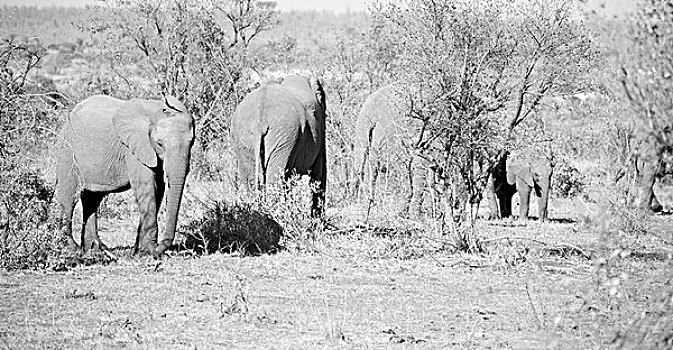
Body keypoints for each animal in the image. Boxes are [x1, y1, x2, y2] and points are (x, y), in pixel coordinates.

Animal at [55, 94, 194, 256]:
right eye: (160, 144)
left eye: (192, 143)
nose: (160, 248)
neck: (155, 111)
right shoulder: (133, 147)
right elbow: (147, 186)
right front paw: (149, 251)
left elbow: (159, 188)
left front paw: (140, 251)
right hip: (67, 150)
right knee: (68, 196)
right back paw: (73, 250)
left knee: (92, 199)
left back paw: (95, 249)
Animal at [230, 74, 326, 216]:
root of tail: (260, 118)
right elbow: (319, 172)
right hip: (285, 136)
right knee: (275, 182)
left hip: (244, 137)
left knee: (250, 182)